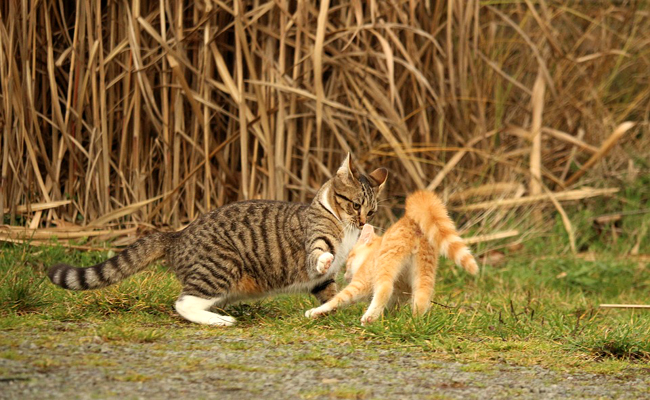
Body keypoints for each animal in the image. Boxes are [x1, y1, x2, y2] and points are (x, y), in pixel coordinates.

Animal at [50, 155, 388, 326]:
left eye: (371, 211)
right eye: (354, 205)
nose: (362, 222)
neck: (344, 228)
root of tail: (177, 235)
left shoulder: (322, 281)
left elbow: (329, 294)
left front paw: (329, 310)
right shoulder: (315, 241)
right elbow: (319, 253)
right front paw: (327, 259)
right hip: (220, 267)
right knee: (183, 303)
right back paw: (218, 321)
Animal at [304, 189, 476, 324]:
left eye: (349, 260)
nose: (345, 274)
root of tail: (411, 222)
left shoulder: (362, 282)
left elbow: (338, 299)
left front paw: (316, 311)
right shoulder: (400, 294)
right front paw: (389, 317)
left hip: (386, 263)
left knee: (384, 288)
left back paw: (369, 318)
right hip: (425, 270)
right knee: (422, 296)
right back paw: (414, 322)